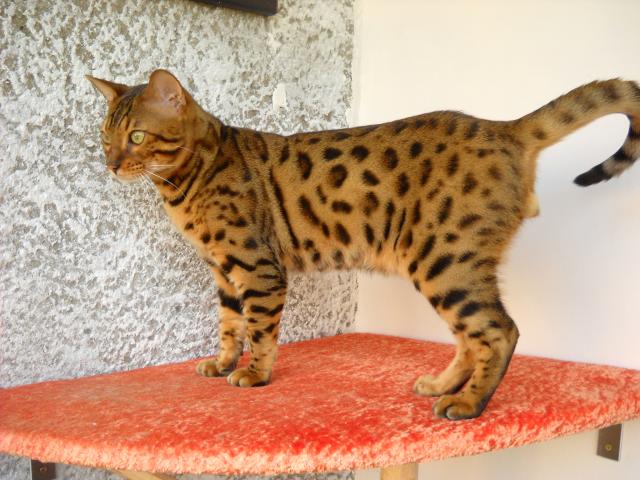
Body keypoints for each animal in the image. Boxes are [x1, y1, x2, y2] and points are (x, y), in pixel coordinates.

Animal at [87, 70, 640, 420]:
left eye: (138, 137)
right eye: (104, 137)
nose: (110, 165)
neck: (186, 182)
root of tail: (504, 128)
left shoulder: (257, 266)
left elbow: (260, 329)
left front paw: (255, 374)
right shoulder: (223, 270)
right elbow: (228, 325)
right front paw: (222, 363)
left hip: (445, 259)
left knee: (500, 331)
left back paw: (468, 405)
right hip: (450, 264)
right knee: (472, 336)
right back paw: (443, 386)